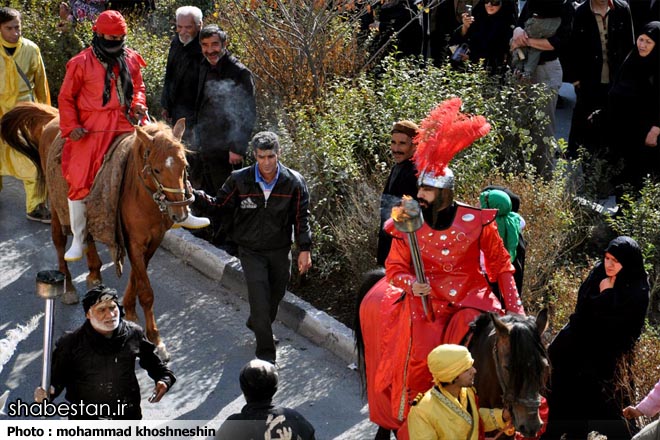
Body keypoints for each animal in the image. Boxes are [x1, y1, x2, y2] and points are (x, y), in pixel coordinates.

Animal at [1, 102, 193, 360]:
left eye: (184, 166)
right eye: (156, 170)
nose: (179, 213)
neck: (141, 193)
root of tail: (55, 118)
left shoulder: (152, 240)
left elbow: (136, 277)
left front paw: (129, 311)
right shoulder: (134, 241)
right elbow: (146, 290)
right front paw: (156, 339)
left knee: (87, 233)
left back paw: (93, 272)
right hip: (58, 205)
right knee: (59, 241)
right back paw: (69, 286)